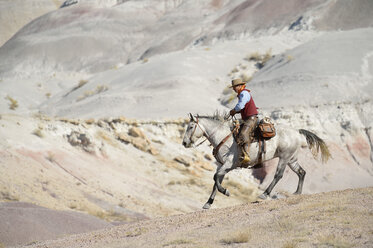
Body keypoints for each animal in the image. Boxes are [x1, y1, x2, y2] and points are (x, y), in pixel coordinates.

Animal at [182, 114, 330, 209]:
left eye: (190, 127)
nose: (184, 143)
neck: (223, 137)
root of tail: (296, 131)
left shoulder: (229, 165)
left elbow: (215, 178)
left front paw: (225, 191)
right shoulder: (222, 166)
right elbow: (216, 181)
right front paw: (208, 203)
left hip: (284, 158)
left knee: (278, 175)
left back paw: (265, 194)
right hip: (291, 160)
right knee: (301, 172)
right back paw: (297, 192)